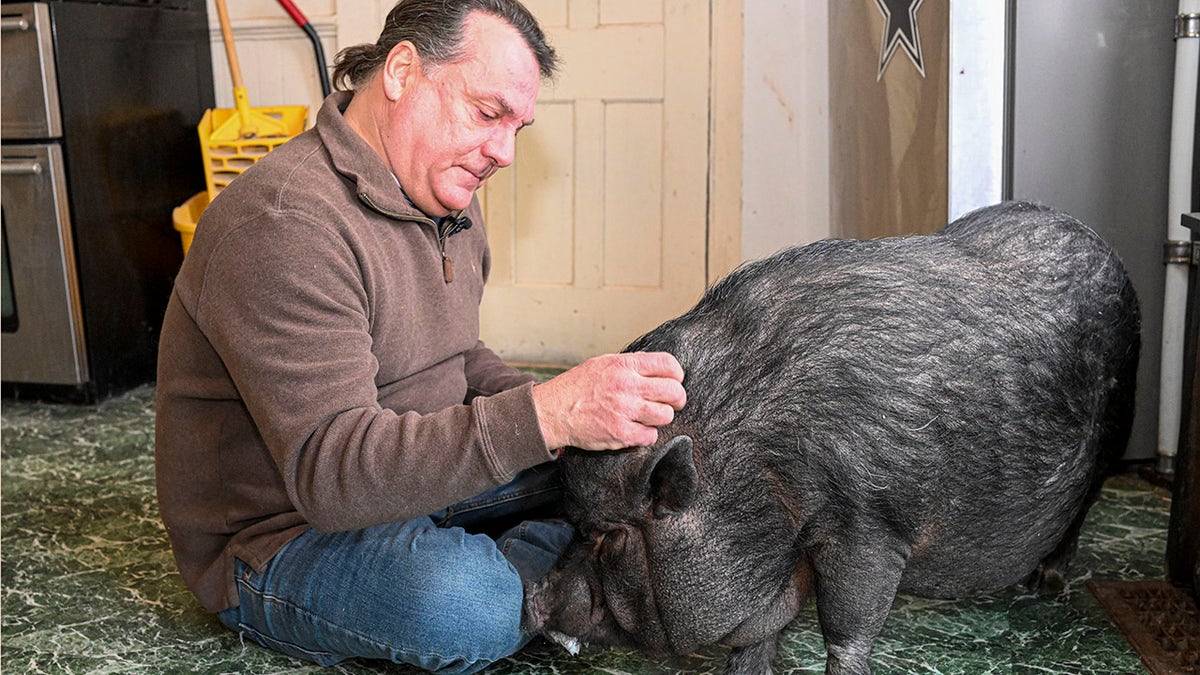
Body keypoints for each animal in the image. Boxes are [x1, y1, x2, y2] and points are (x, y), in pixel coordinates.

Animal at [523, 200, 1132, 672]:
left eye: (610, 536)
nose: (532, 595)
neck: (758, 471)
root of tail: (1099, 239)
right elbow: (762, 632)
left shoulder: (872, 527)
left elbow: (846, 630)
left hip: (1116, 432)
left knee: (1083, 506)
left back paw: (1045, 583)